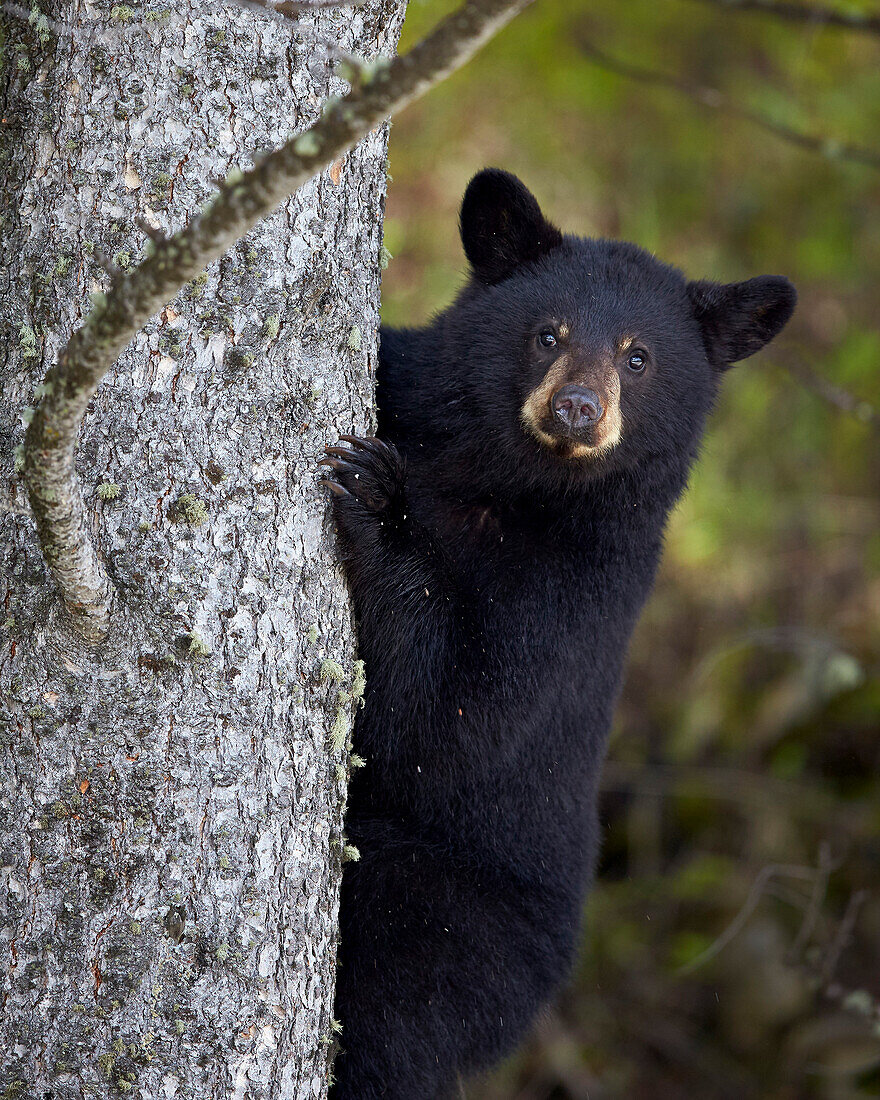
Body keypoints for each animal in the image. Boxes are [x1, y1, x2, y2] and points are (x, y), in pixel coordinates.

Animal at [321, 165, 796, 1100]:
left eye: (638, 357)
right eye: (549, 334)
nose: (577, 409)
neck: (499, 482)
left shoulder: (580, 590)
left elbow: (454, 722)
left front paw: (378, 502)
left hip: (454, 923)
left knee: (393, 1015)